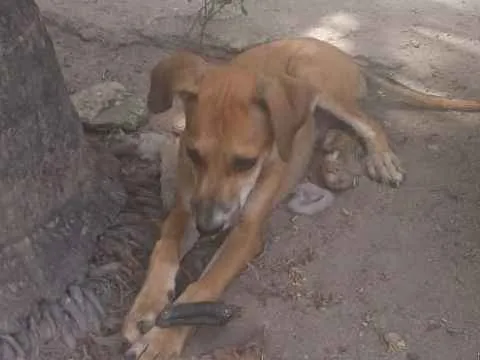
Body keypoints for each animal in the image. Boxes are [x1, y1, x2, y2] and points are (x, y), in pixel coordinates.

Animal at [122, 37, 480, 360]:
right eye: (193, 154)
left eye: (245, 163)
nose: (209, 228)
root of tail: (328, 46)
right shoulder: (186, 207)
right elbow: (164, 248)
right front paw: (146, 306)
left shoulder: (247, 232)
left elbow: (205, 285)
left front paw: (163, 339)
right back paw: (335, 162)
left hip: (314, 78)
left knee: (370, 123)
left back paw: (379, 158)